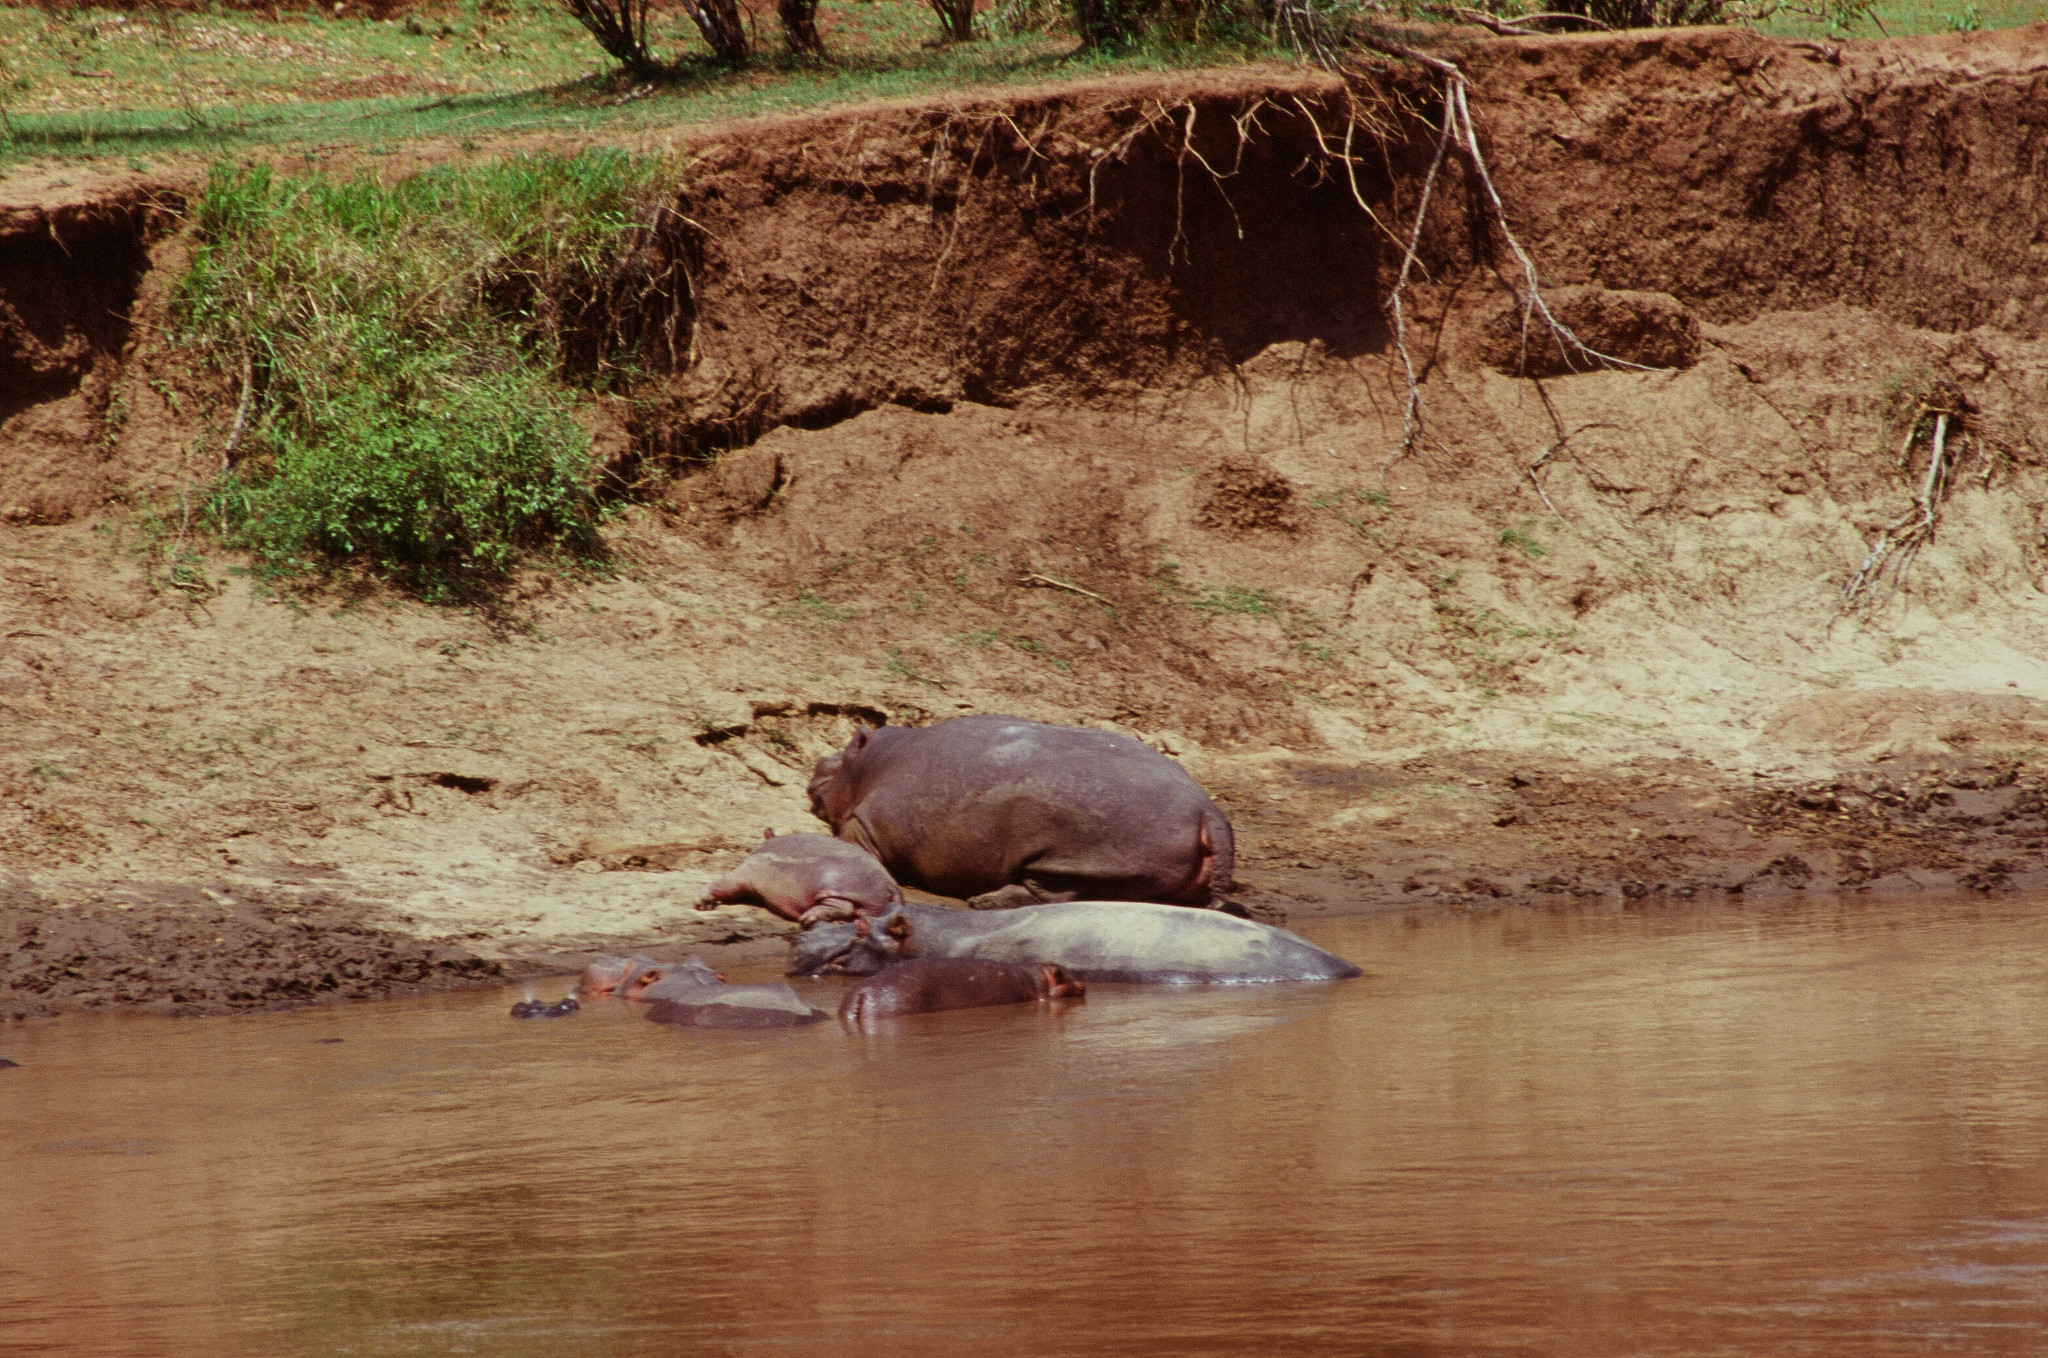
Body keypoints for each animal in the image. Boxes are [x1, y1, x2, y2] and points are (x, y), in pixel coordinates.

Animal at [692, 827, 901, 925]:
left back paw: (807, 918)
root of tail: (891, 883)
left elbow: (725, 883)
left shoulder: (747, 871)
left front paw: (701, 901)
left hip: (838, 885)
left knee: (842, 906)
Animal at [806, 712, 1236, 913]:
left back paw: (983, 901)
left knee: (1051, 891)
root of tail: (1208, 811)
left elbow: (851, 837)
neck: (873, 764)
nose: (819, 760)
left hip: (1074, 855)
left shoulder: (867, 823)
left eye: (846, 748)